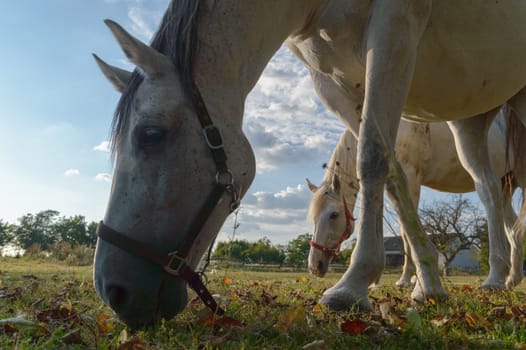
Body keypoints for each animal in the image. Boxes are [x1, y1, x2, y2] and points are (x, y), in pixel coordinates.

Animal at [308, 113, 526, 290]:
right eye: (313, 219)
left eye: (333, 215)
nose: (314, 266)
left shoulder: (410, 177)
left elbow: (406, 231)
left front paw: (407, 278)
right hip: (506, 186)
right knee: (512, 228)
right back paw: (511, 279)